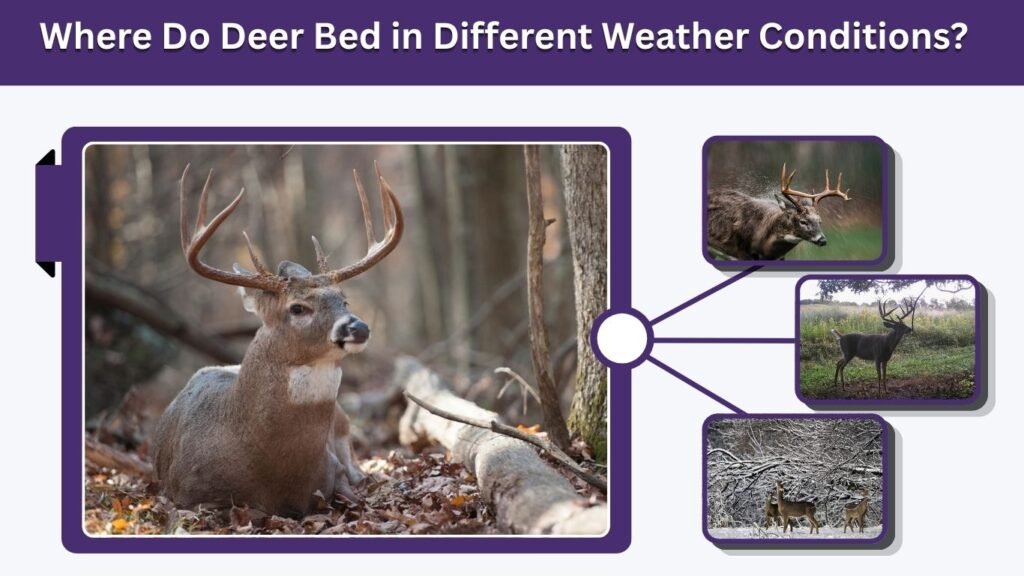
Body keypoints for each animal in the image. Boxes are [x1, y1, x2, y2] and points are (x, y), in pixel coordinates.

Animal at [151, 162, 403, 517]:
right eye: (297, 308)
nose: (358, 328)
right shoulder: (190, 494)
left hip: (343, 419)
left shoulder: (333, 471)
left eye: (344, 300)